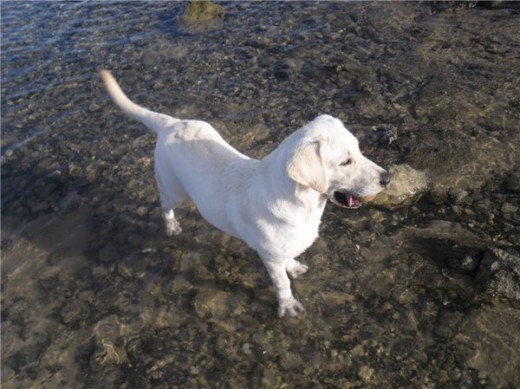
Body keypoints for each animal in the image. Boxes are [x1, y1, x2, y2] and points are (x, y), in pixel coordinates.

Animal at [100, 69, 390, 316]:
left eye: (359, 150)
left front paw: (294, 266)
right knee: (164, 206)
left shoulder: (279, 250)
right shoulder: (270, 258)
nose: (388, 178)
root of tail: (171, 123)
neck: (302, 206)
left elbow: (289, 259)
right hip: (172, 188)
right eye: (345, 162)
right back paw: (171, 226)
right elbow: (282, 283)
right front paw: (288, 306)